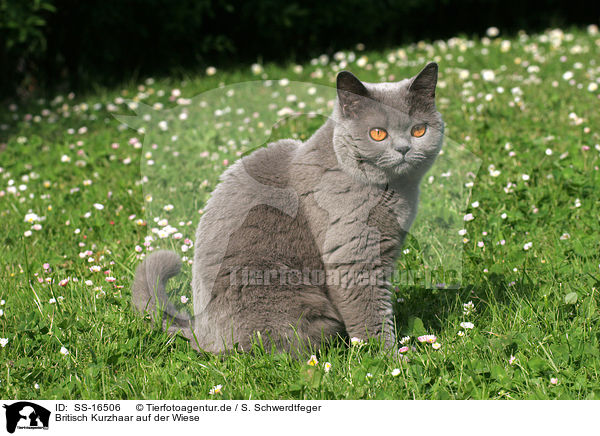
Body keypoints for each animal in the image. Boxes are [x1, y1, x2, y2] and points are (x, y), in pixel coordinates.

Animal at [134, 63, 442, 352]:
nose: (403, 149)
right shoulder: (354, 252)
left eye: (418, 130)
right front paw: (388, 357)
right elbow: (369, 311)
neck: (394, 191)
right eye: (378, 133)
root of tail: (198, 331)